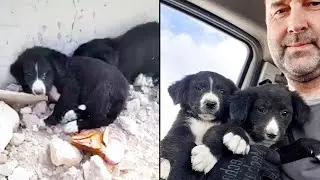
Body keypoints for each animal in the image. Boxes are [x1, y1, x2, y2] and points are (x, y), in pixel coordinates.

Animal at [191, 83, 320, 174]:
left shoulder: (279, 154)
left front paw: (317, 148)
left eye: (285, 113)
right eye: (261, 109)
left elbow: (300, 142)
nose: (271, 135)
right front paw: (206, 156)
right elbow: (217, 134)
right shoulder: (221, 126)